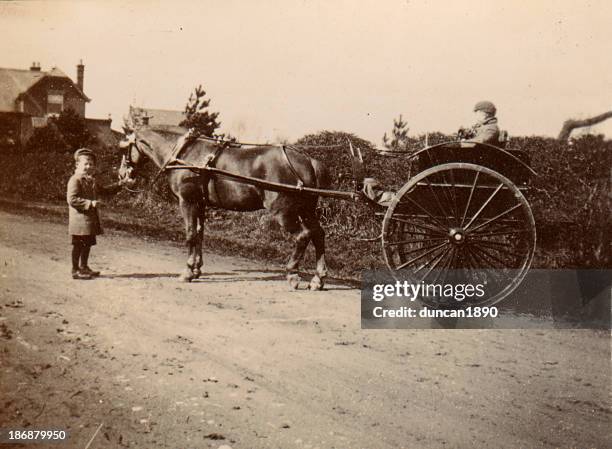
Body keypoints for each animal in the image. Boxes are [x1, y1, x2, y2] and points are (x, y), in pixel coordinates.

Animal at [117, 126, 332, 288]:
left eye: (125, 148)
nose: (122, 175)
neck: (184, 153)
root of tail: (308, 160)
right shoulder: (200, 203)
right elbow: (199, 233)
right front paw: (197, 269)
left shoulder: (187, 202)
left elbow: (190, 235)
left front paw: (187, 271)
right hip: (306, 210)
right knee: (318, 235)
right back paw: (318, 279)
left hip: (283, 212)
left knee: (302, 236)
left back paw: (292, 274)